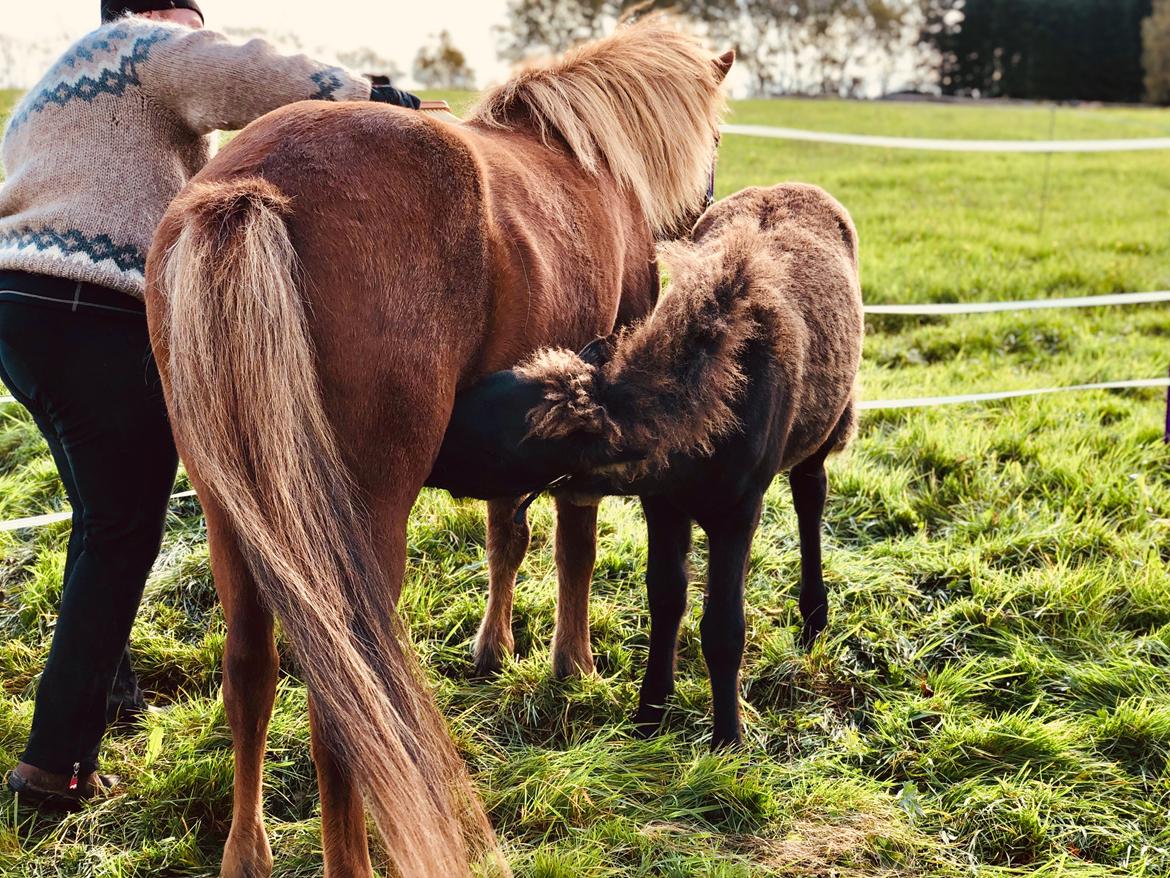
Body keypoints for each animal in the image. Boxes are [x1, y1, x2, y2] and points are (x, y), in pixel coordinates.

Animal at [143, 17, 730, 878]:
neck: (583, 157)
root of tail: (247, 190)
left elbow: (506, 537)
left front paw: (496, 648)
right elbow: (575, 547)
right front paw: (574, 664)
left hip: (233, 516)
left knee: (249, 672)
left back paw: (246, 853)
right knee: (348, 702)